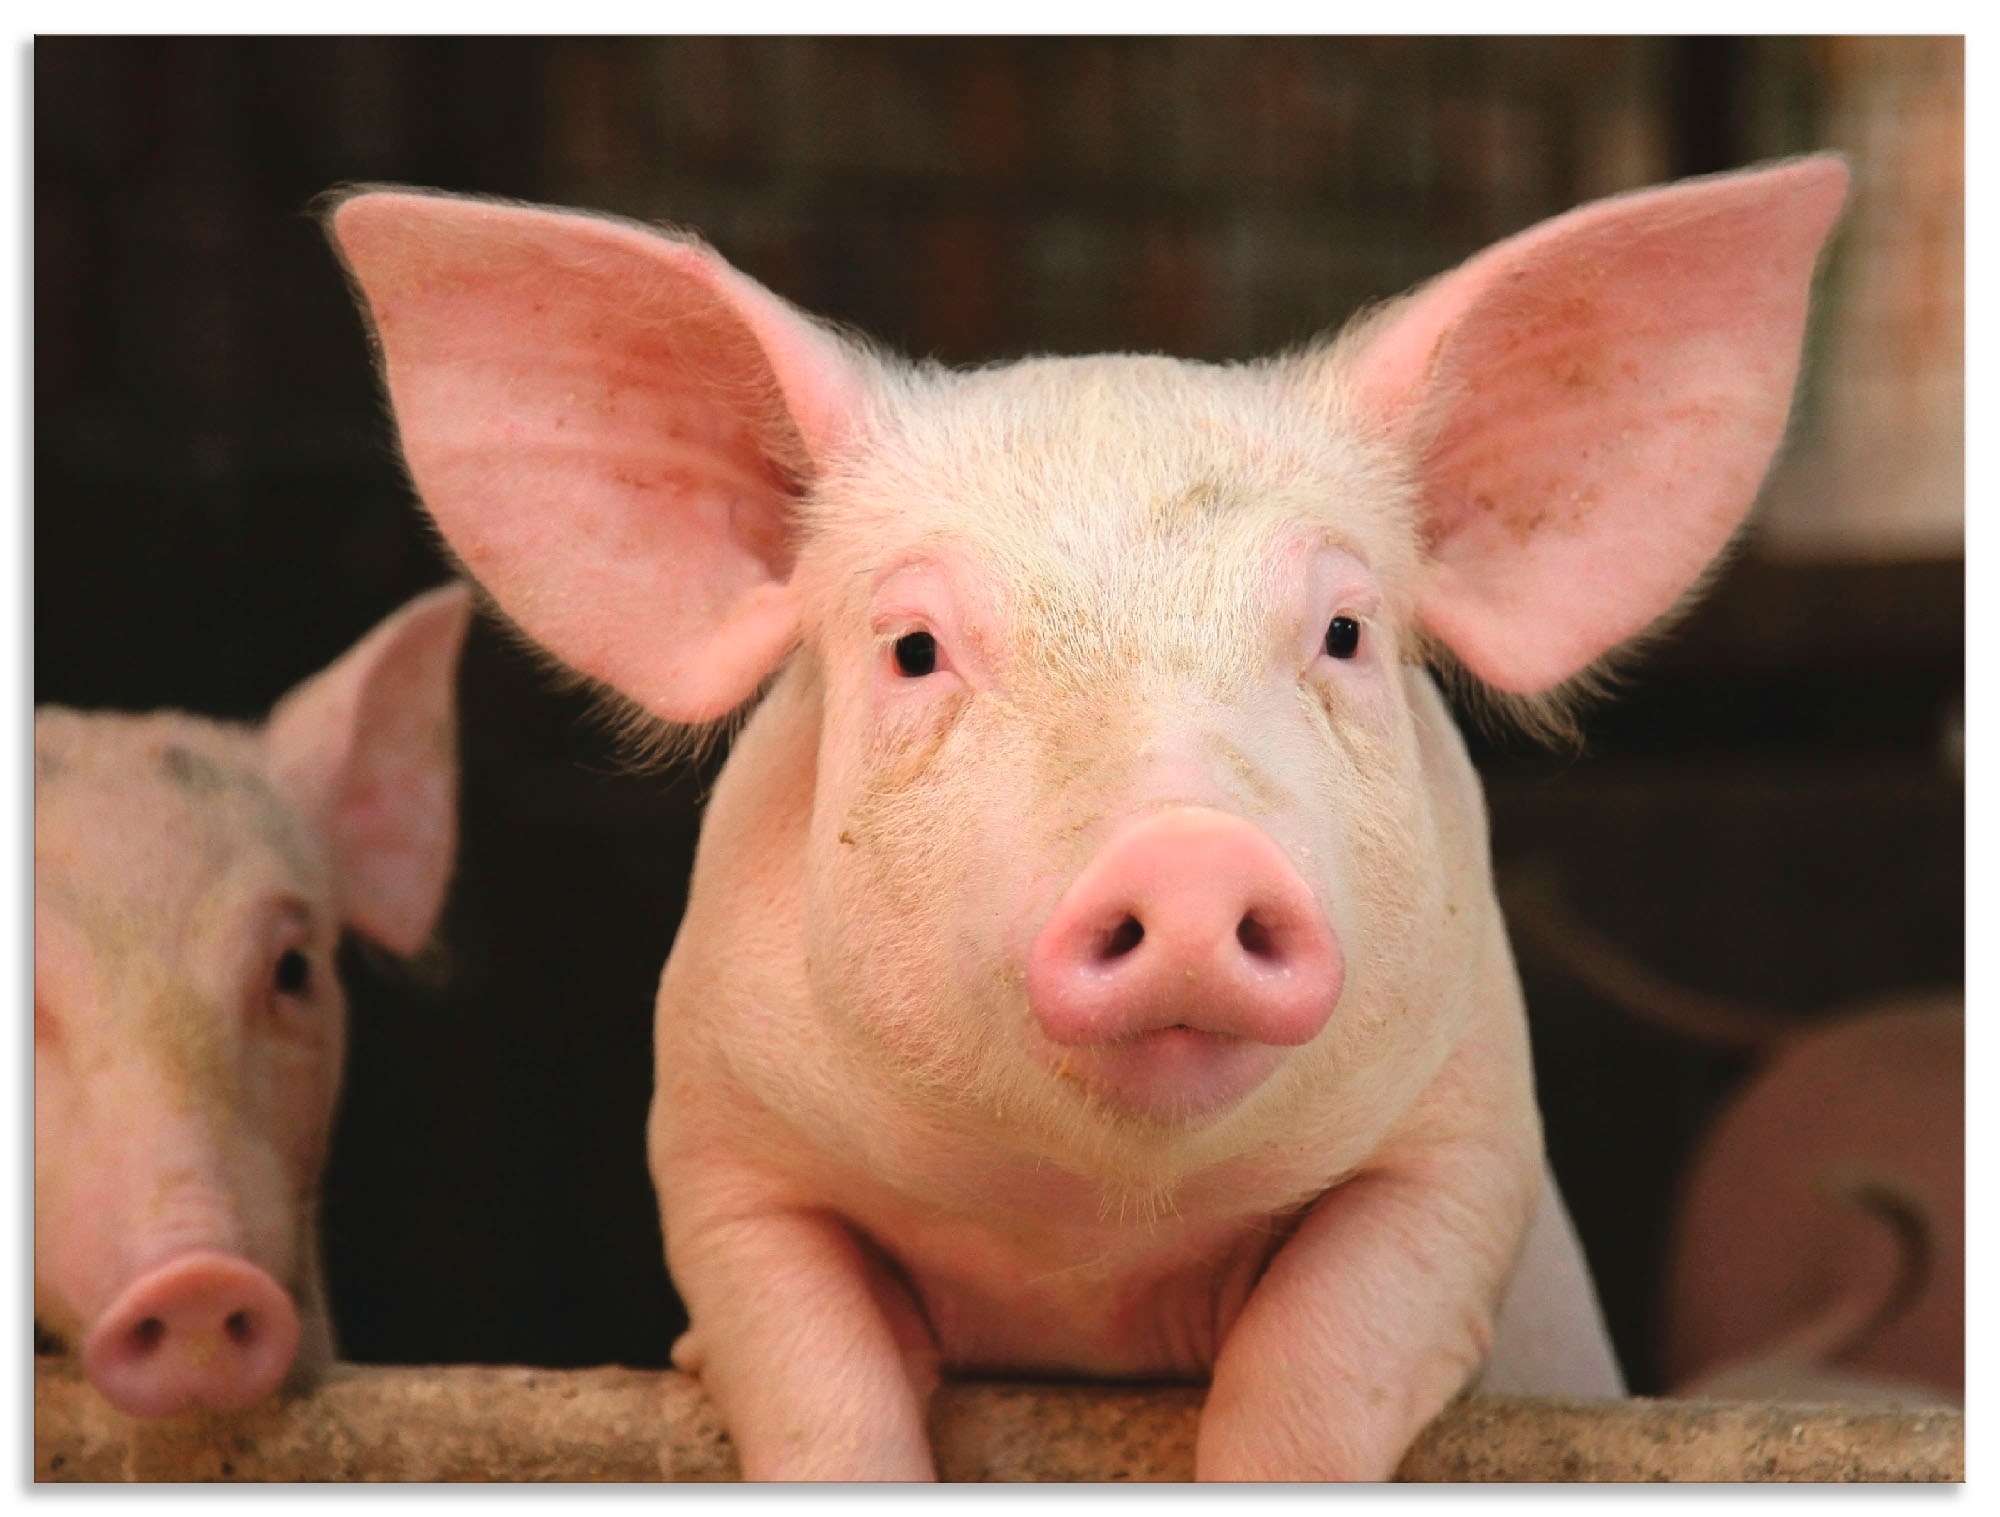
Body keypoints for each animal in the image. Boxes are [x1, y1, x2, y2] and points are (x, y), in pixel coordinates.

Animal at [324, 156, 1847, 1479]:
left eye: (1344, 631)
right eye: (915, 649)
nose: (1185, 852)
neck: (1089, 1245)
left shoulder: (1468, 1138)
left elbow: (1324, 1354)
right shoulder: (716, 1142)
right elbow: (810, 1370)